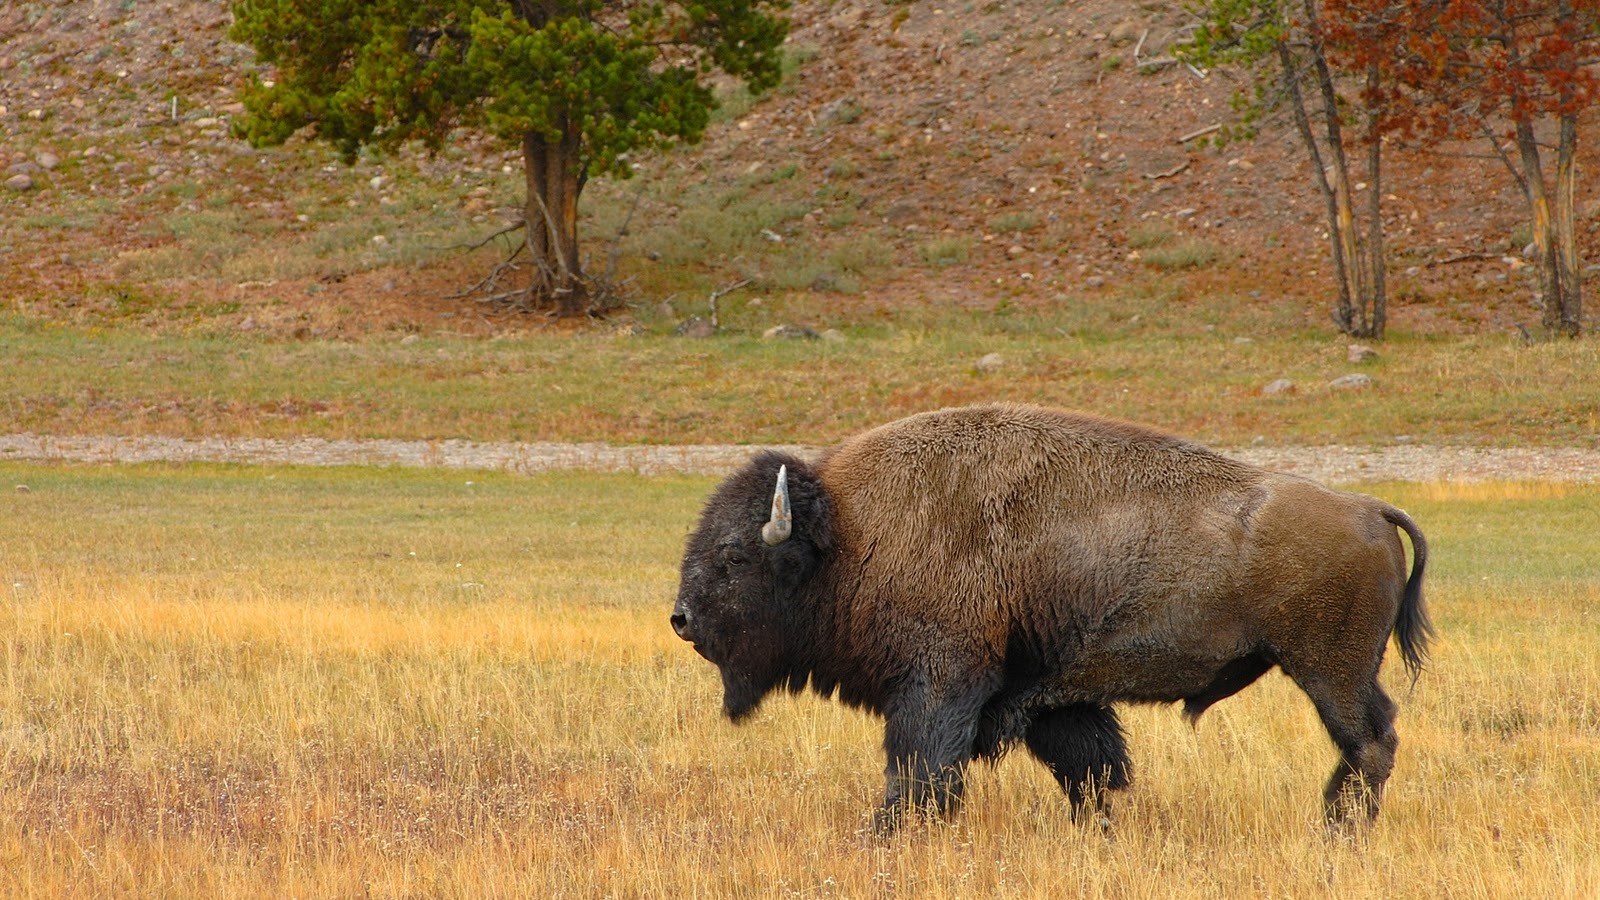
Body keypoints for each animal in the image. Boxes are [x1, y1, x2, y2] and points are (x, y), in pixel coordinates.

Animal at [668, 403, 1433, 832]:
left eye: (734, 555)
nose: (681, 619)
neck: (851, 533)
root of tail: (1368, 506)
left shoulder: (940, 684)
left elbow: (920, 772)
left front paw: (885, 836)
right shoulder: (1050, 699)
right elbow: (1090, 771)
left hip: (1329, 672)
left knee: (1371, 741)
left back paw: (1338, 828)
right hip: (1338, 672)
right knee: (1374, 740)